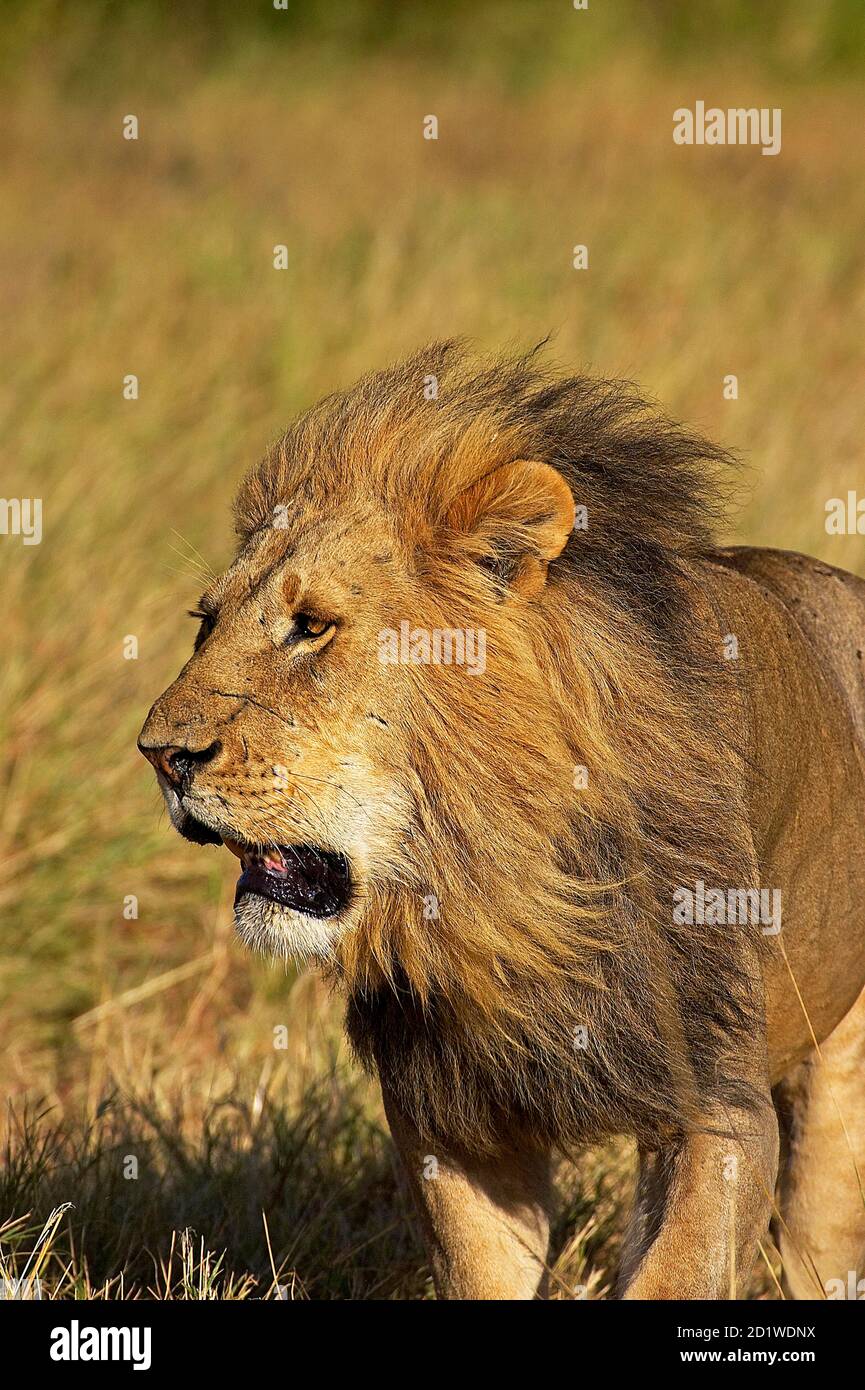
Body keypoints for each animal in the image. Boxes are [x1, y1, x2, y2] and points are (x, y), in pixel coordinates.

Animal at [139, 343, 865, 1300]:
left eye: (312, 627)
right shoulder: (452, 1126)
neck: (489, 887)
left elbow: (675, 1272)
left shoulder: (716, 1104)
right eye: (206, 623)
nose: (158, 754)